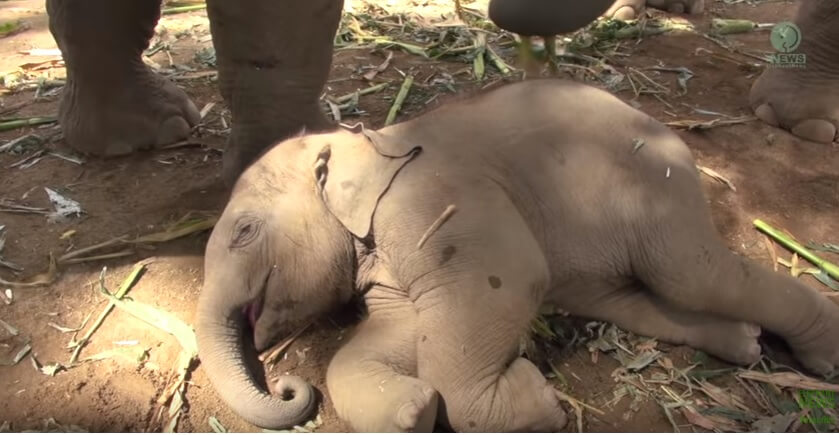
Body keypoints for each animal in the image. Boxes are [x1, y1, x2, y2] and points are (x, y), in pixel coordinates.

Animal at [197, 79, 839, 432]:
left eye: (244, 231)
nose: (286, 386)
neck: (368, 141)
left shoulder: (435, 200)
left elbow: (500, 284)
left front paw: (538, 400)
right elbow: (398, 335)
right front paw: (414, 410)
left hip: (655, 187)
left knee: (690, 273)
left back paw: (820, 358)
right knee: (633, 298)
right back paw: (747, 344)